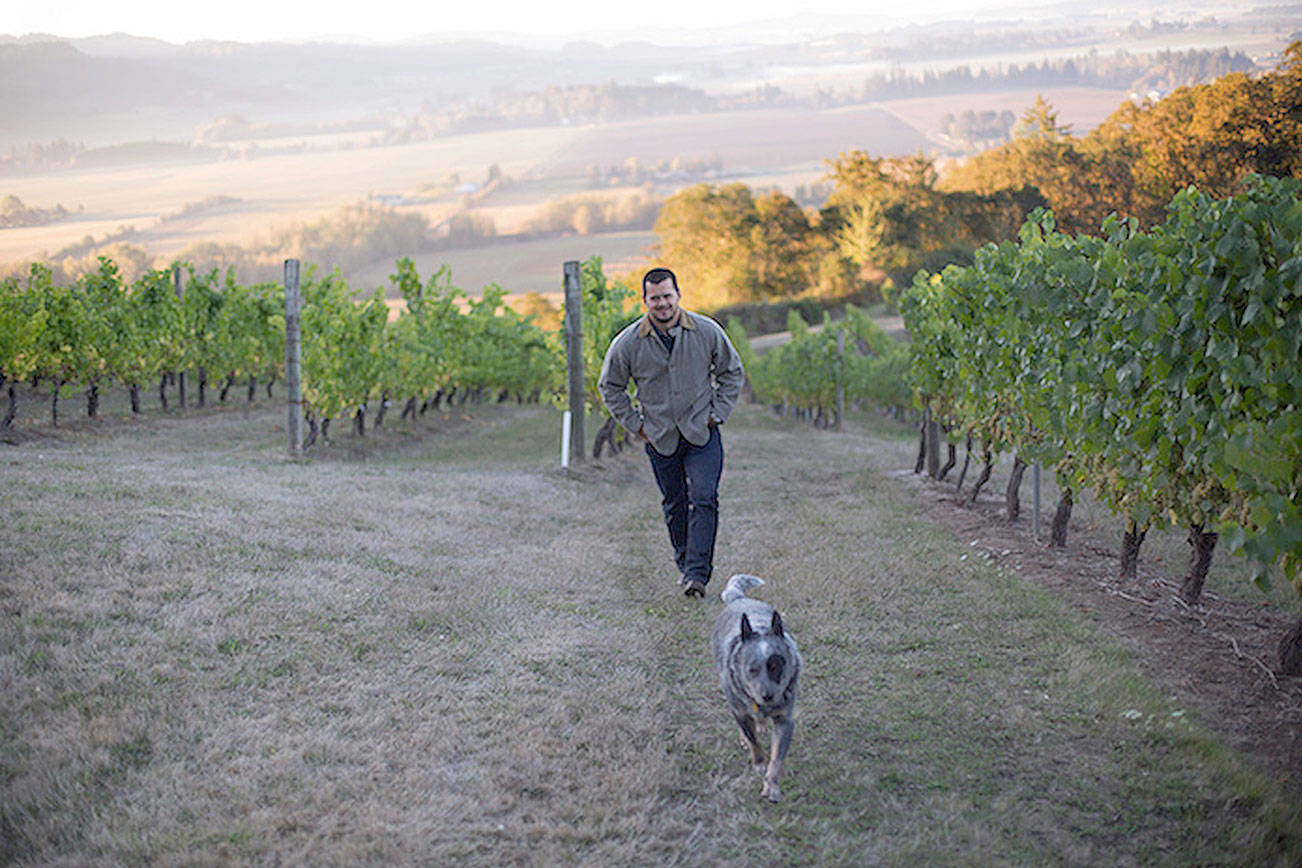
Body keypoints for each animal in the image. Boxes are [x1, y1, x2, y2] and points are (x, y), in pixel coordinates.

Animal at [713, 572, 802, 806]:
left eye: (776, 666)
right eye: (751, 669)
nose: (767, 695)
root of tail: (740, 598)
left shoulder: (784, 719)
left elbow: (777, 758)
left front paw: (772, 786)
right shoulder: (740, 710)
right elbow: (752, 739)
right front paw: (759, 761)